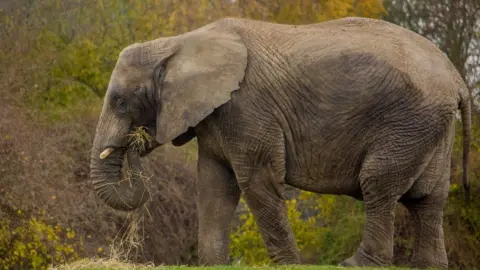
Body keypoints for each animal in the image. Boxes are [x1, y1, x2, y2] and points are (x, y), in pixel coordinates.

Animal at [88, 15, 470, 268]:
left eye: (120, 101)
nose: (136, 143)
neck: (177, 43)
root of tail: (456, 77)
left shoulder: (247, 107)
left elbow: (256, 181)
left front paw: (289, 264)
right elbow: (214, 187)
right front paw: (213, 264)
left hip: (408, 122)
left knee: (378, 185)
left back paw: (354, 264)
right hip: (431, 127)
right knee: (429, 199)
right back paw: (428, 266)